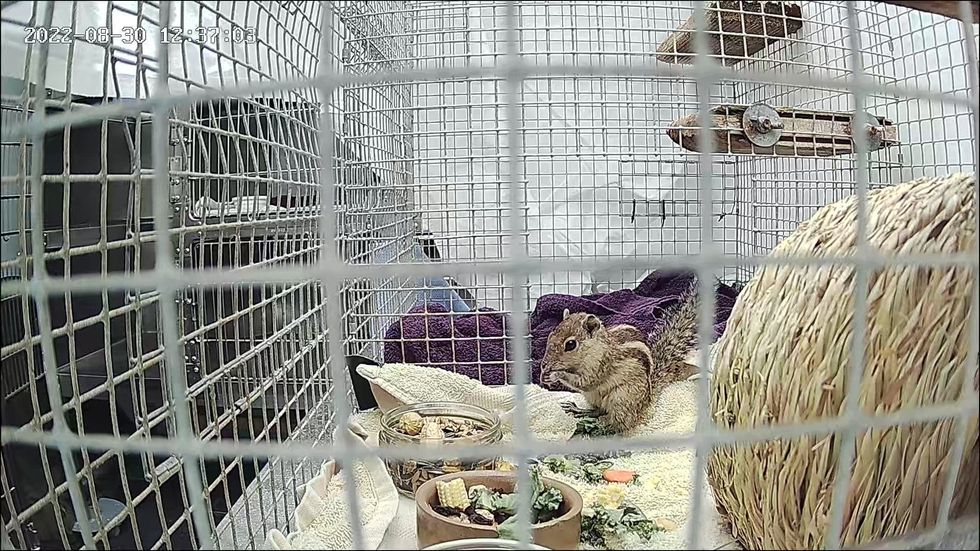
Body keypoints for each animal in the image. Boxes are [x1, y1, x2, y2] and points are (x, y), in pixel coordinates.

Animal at [541, 284, 702, 433]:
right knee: (598, 411)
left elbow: (585, 382)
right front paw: (545, 376)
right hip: (592, 397)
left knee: (620, 424)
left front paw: (556, 374)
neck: (595, 349)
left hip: (621, 399)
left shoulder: (601, 366)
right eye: (551, 334)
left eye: (570, 344)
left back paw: (600, 429)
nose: (544, 365)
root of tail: (647, 401)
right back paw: (579, 410)